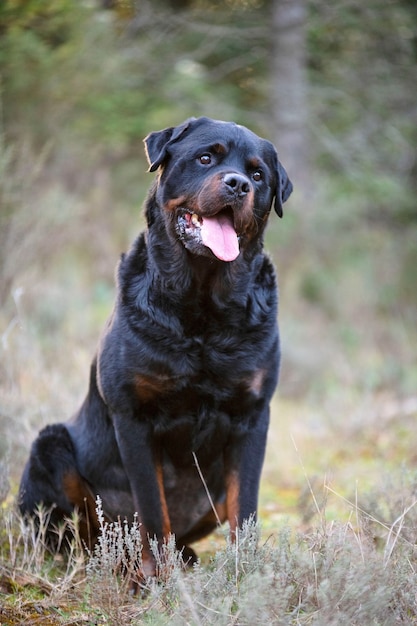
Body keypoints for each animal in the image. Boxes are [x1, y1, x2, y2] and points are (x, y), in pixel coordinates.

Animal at [18, 116, 292, 576]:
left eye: (258, 176)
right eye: (206, 158)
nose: (238, 184)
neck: (202, 306)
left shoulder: (252, 415)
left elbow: (246, 508)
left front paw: (246, 574)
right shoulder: (134, 416)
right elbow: (151, 508)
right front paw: (157, 579)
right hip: (51, 446)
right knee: (79, 535)